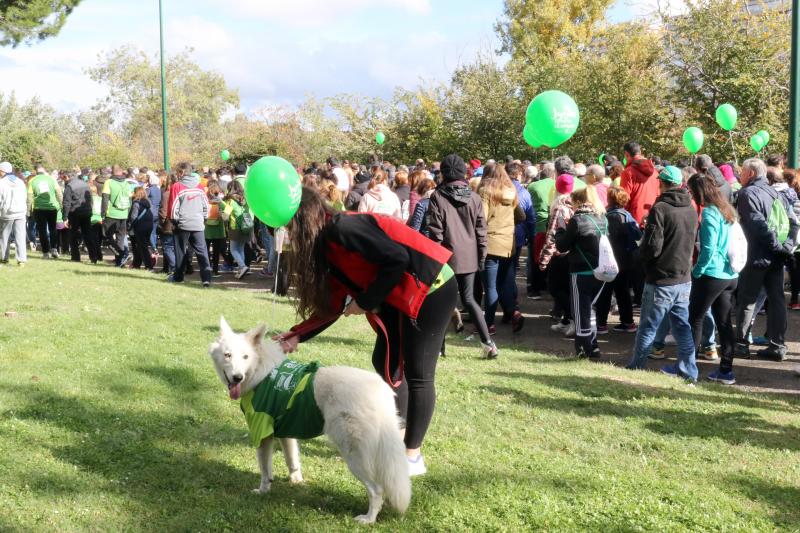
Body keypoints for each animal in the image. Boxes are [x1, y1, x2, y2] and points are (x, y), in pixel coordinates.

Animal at [209, 316, 410, 524]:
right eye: (227, 355)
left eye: (245, 357)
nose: (237, 377)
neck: (259, 371)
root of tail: (381, 391)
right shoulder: (285, 434)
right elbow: (292, 460)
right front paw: (296, 481)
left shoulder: (262, 435)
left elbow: (265, 471)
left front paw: (263, 490)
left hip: (354, 456)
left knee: (376, 490)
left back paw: (368, 518)